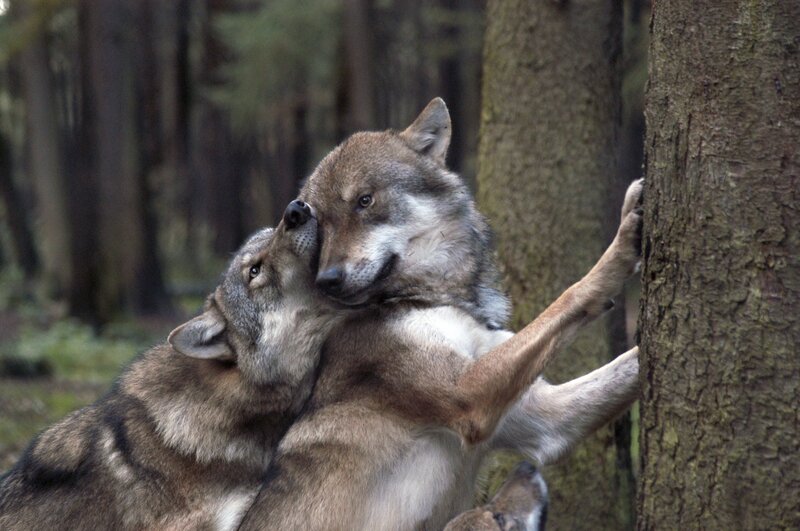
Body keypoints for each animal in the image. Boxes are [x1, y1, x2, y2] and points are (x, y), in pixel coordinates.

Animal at [238, 98, 643, 530]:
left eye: (364, 201)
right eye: (321, 224)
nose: (327, 280)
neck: (431, 299)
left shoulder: (547, 421)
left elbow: (622, 364)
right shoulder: (470, 394)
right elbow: (569, 296)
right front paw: (622, 248)